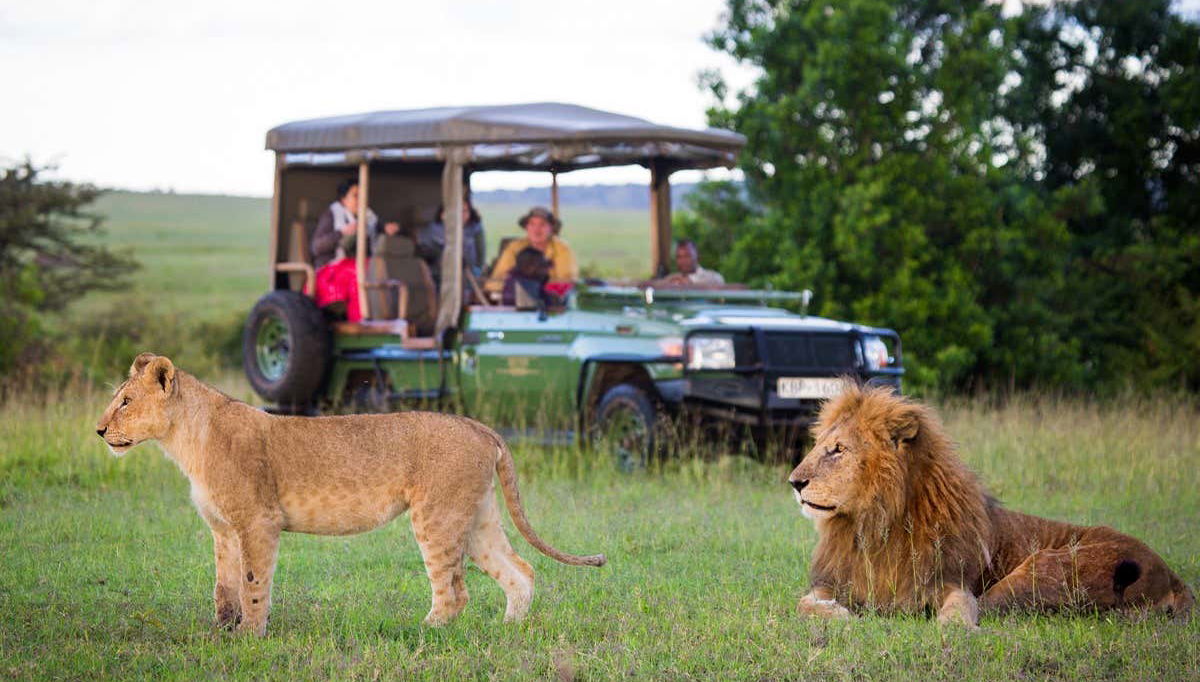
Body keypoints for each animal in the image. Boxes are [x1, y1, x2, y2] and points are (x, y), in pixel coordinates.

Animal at [94, 353, 605, 636]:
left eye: (126, 401)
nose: (99, 431)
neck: (183, 441)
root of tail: (476, 424)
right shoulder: (223, 530)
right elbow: (224, 586)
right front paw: (220, 632)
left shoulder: (258, 522)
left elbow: (254, 584)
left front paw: (249, 637)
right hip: (475, 516)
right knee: (520, 571)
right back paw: (507, 631)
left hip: (436, 516)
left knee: (455, 592)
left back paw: (418, 632)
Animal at [788, 385, 1193, 627]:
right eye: (819, 445)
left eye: (838, 450)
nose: (794, 482)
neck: (873, 527)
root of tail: (1172, 576)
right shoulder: (834, 580)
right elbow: (803, 604)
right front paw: (840, 615)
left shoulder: (947, 581)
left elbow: (960, 607)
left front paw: (950, 628)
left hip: (1041, 569)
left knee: (990, 606)